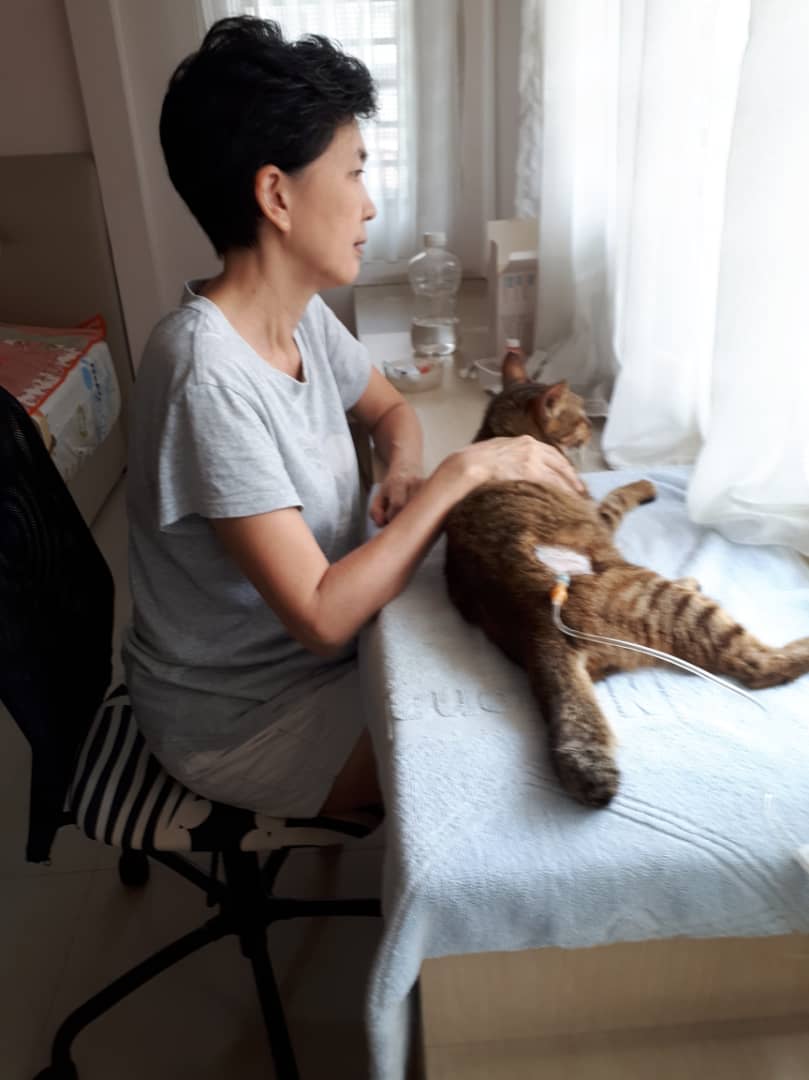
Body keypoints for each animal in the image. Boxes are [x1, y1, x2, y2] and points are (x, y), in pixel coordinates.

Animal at [443, 350, 809, 808]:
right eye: (582, 417)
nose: (589, 429)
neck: (497, 435)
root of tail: (537, 627)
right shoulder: (597, 512)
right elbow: (618, 496)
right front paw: (642, 483)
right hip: (668, 603)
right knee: (757, 665)